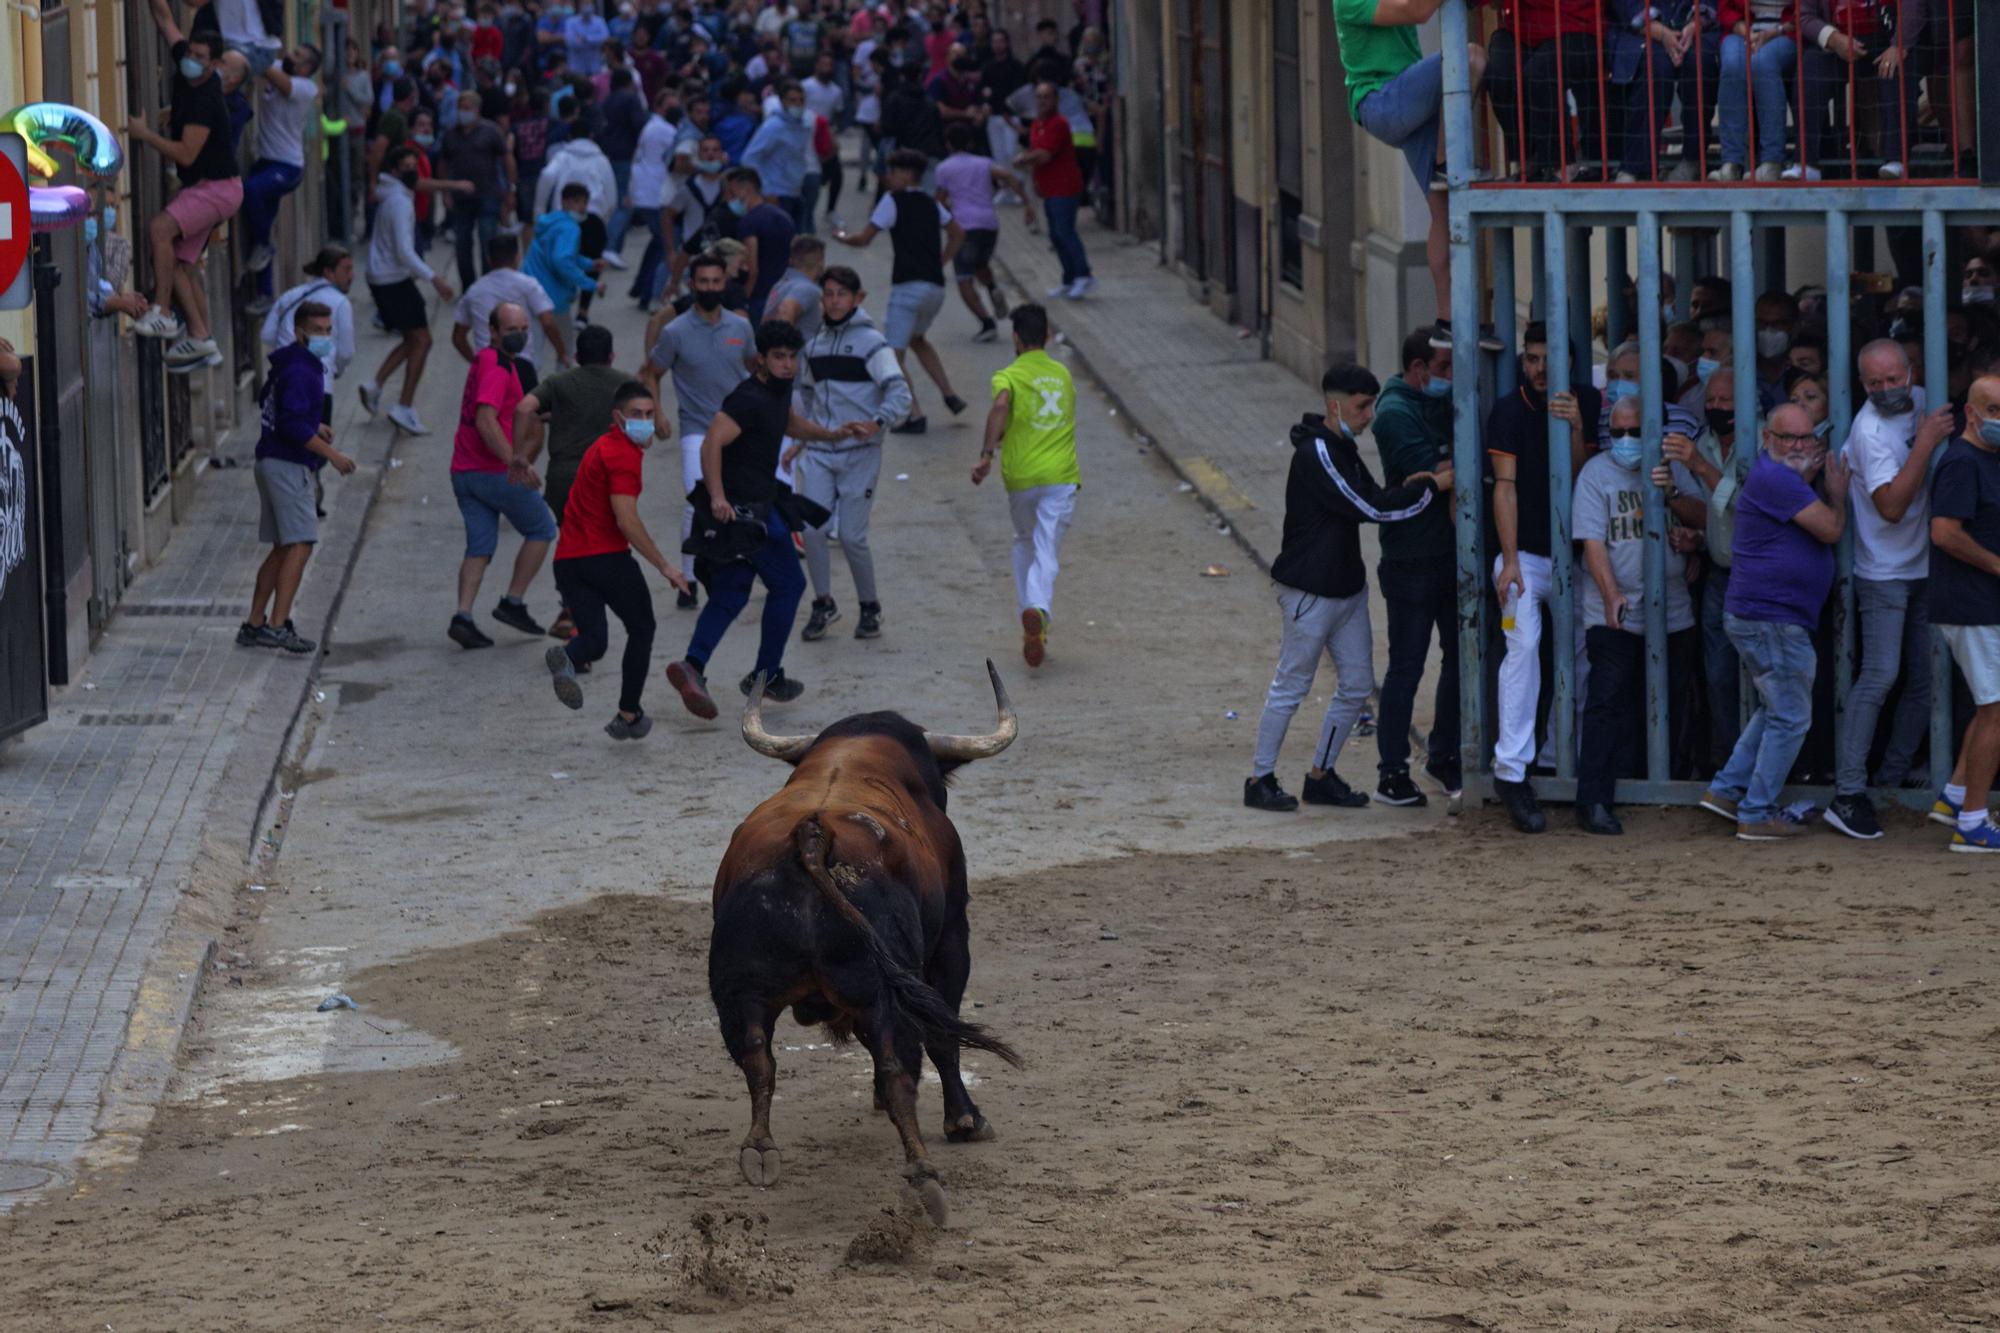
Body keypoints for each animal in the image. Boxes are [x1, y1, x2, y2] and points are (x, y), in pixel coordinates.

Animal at [708, 660, 1024, 1216]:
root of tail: (813, 836)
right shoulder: (952, 938)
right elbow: (942, 1036)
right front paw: (965, 1120)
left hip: (739, 990)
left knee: (757, 1058)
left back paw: (760, 1152)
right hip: (889, 990)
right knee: (901, 1066)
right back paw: (925, 1177)